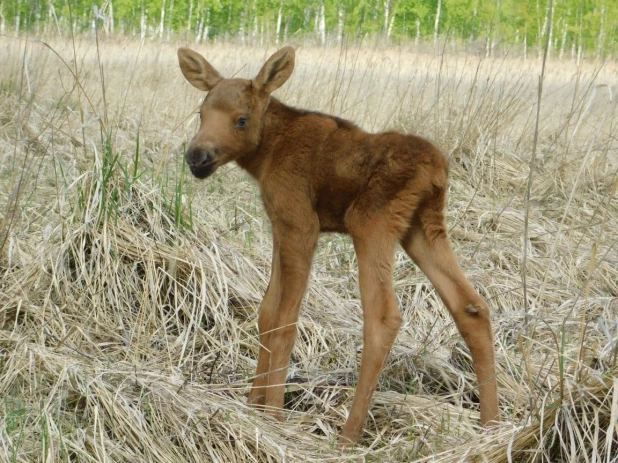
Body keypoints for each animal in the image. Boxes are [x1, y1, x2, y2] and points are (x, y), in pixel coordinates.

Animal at [176, 46, 498, 446]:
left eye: (241, 120)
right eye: (201, 113)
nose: (198, 157)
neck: (266, 154)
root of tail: (437, 171)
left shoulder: (301, 224)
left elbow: (285, 319)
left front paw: (273, 414)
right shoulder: (279, 225)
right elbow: (267, 311)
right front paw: (253, 401)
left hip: (371, 223)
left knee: (384, 317)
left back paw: (349, 434)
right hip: (423, 228)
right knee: (471, 306)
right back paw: (492, 427)